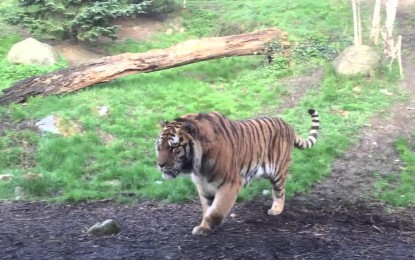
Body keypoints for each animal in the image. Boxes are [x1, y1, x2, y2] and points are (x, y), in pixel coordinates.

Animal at [154, 108, 320, 236]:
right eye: (160, 147)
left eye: (174, 147)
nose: (160, 165)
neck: (199, 165)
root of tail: (287, 125)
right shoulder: (203, 186)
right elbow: (207, 208)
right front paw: (204, 226)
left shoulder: (230, 183)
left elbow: (217, 209)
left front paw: (209, 225)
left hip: (277, 171)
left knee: (280, 191)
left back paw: (276, 210)